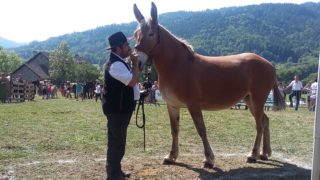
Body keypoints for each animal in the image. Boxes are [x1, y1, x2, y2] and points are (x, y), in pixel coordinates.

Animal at [132, 2, 284, 168]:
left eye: (151, 34)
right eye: (136, 34)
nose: (137, 62)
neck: (177, 65)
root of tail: (269, 64)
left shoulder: (193, 105)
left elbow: (201, 130)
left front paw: (209, 159)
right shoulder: (172, 106)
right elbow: (174, 130)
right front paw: (171, 156)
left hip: (257, 101)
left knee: (259, 125)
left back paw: (253, 155)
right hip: (250, 101)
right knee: (265, 121)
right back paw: (265, 153)